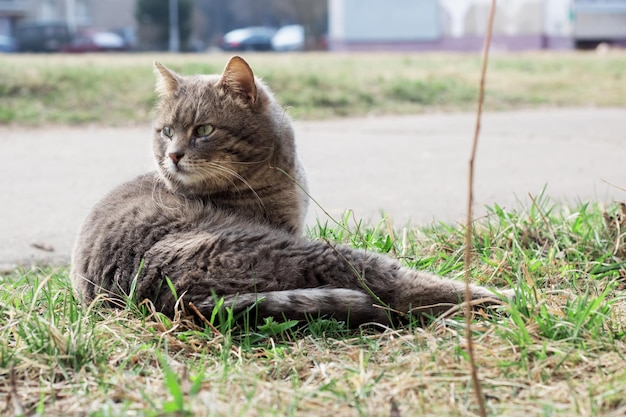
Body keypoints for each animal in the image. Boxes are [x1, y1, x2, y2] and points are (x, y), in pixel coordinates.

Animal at [69, 56, 508, 328]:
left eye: (203, 130)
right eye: (166, 131)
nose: (172, 155)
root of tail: (156, 295)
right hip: (313, 255)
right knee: (401, 287)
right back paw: (501, 296)